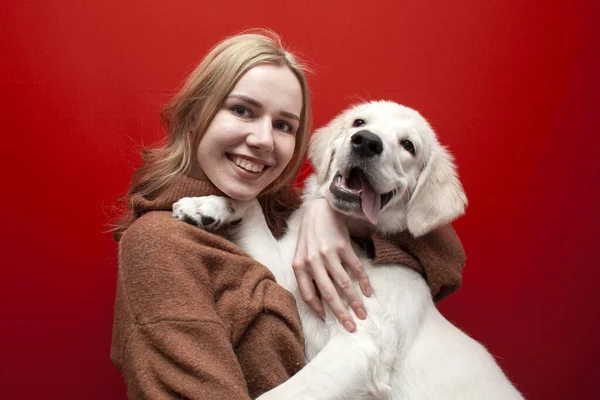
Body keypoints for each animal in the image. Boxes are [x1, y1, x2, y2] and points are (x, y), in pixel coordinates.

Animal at [171, 101, 524, 398]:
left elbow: (277, 395)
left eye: (408, 145)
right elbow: (250, 203)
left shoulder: (359, 346)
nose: (366, 142)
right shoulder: (292, 283)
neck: (354, 243)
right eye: (359, 122)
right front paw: (207, 205)